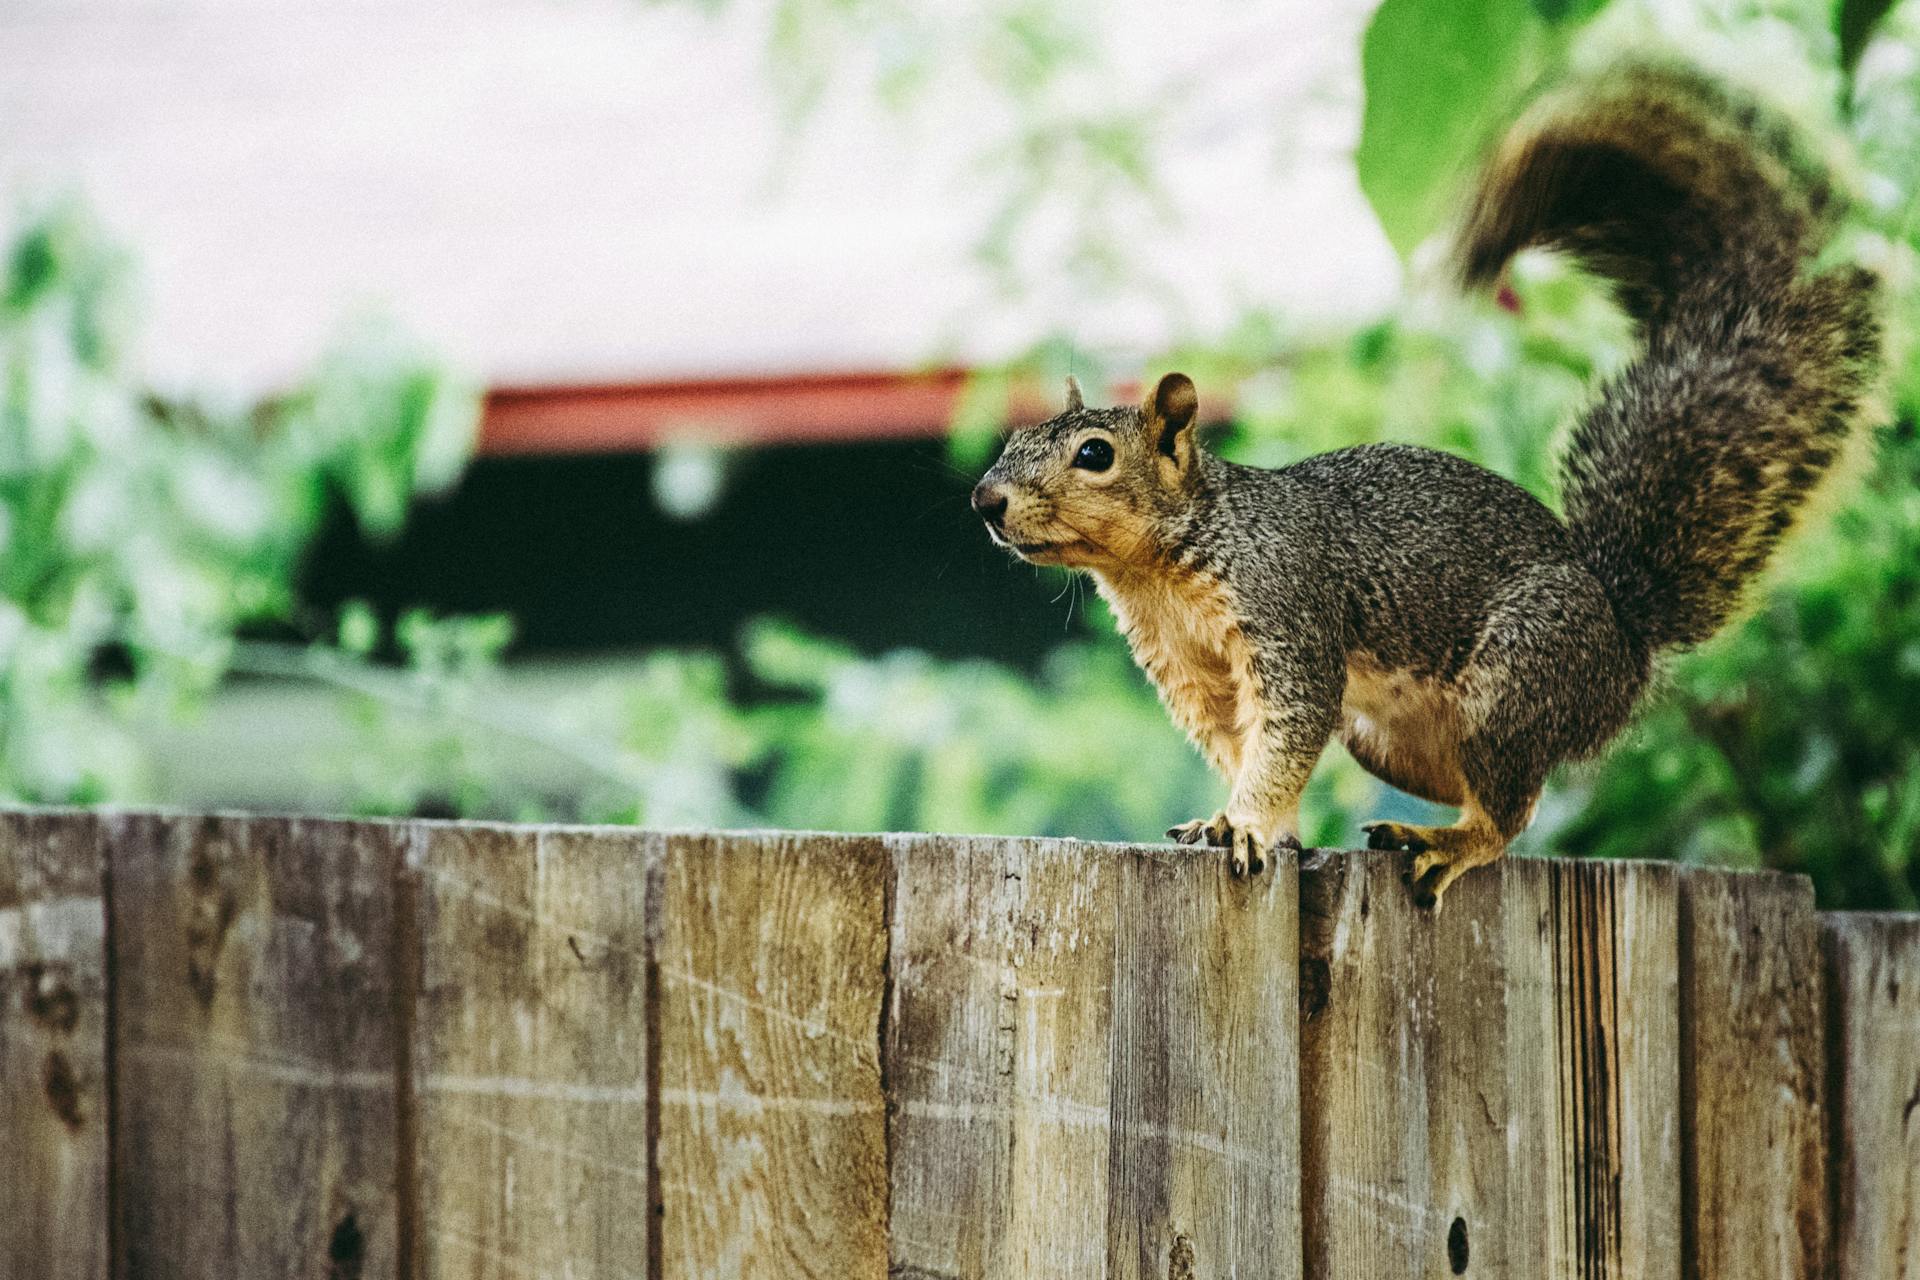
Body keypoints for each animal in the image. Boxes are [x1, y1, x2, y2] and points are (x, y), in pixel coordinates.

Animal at [967, 59, 1881, 905]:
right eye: (1011, 438)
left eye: (1094, 455)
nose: (985, 501)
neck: (1160, 568)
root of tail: (1625, 637)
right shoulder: (1194, 675)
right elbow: (1238, 744)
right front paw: (1249, 823)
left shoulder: (1287, 614)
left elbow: (1285, 734)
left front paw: (1245, 821)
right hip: (1392, 736)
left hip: (1518, 676)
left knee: (1512, 811)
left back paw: (1447, 842)